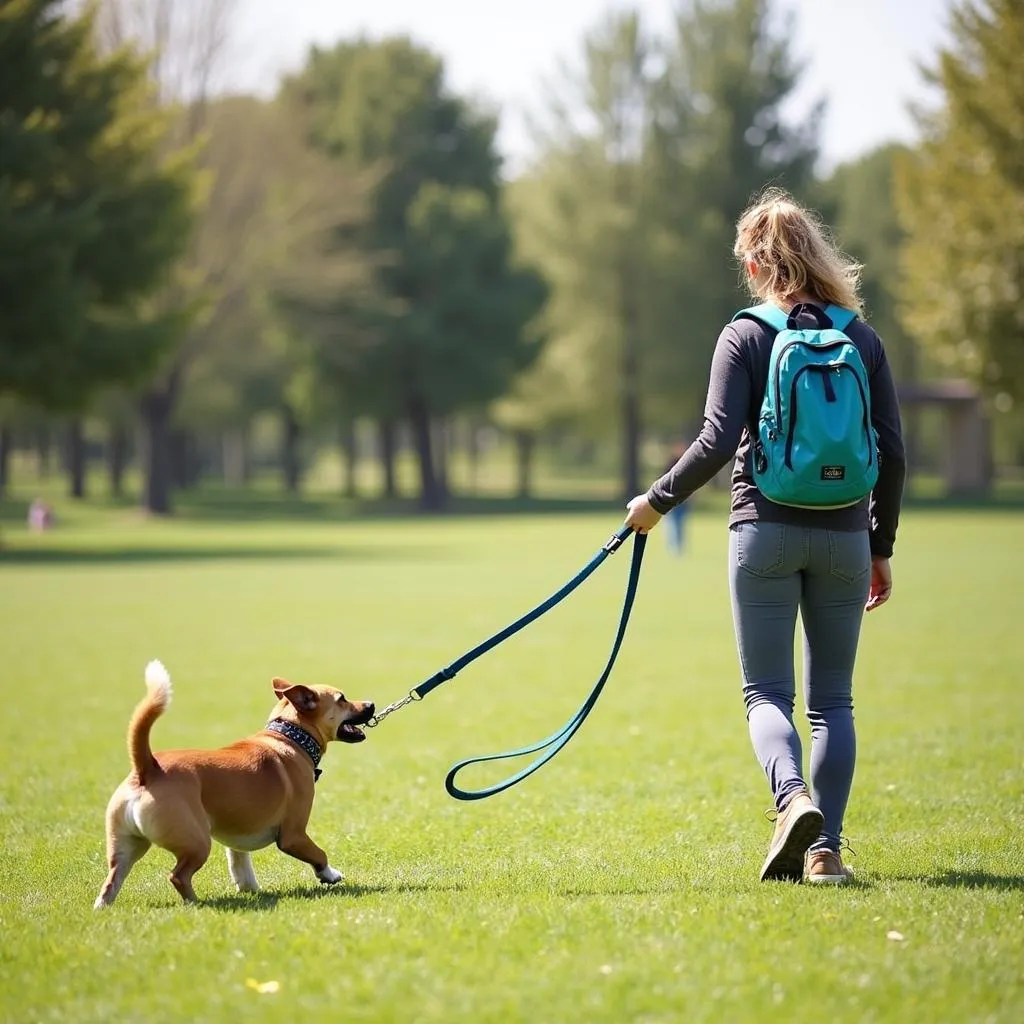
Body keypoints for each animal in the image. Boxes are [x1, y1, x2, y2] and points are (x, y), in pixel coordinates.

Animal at [94, 659, 374, 909]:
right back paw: (196, 903)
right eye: (342, 699)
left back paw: (102, 908)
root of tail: (148, 768)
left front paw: (250, 889)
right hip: (196, 842)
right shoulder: (293, 835)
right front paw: (330, 875)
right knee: (178, 876)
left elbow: (240, 863)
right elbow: (319, 854)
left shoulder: (237, 836)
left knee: (112, 880)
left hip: (125, 845)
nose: (371, 703)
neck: (290, 737)